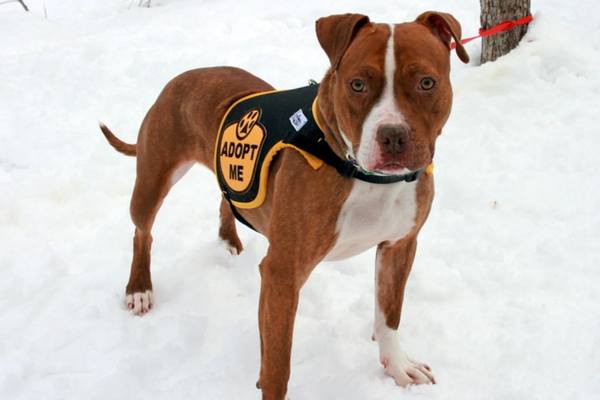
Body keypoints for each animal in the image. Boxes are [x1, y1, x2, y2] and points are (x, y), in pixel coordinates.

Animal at [101, 10, 468, 398]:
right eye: (357, 84)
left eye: (426, 82)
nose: (393, 136)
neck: (365, 175)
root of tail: (182, 76)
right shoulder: (283, 273)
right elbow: (278, 364)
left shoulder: (399, 246)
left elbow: (389, 316)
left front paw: (398, 367)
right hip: (152, 179)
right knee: (143, 232)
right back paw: (139, 288)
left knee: (224, 195)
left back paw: (229, 240)